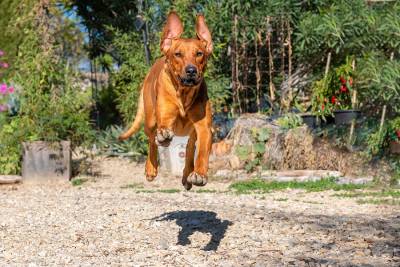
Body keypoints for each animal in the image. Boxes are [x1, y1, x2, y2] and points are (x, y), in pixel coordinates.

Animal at [118, 12, 212, 191]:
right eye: (178, 54)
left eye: (199, 54)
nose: (191, 70)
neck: (184, 94)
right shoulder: (166, 116)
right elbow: (163, 131)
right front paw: (163, 139)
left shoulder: (204, 127)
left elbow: (202, 150)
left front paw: (200, 174)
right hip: (150, 120)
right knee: (151, 139)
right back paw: (151, 167)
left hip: (191, 132)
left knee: (190, 147)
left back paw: (187, 174)